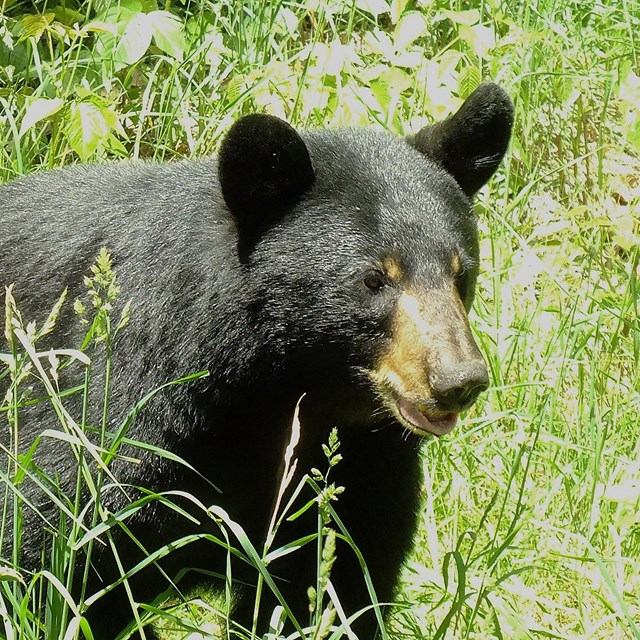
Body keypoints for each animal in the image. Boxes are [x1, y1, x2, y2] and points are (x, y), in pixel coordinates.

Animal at [0, 83, 513, 639]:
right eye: (374, 278)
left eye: (462, 272)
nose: (460, 378)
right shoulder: (114, 418)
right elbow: (48, 548)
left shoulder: (360, 465)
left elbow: (336, 580)